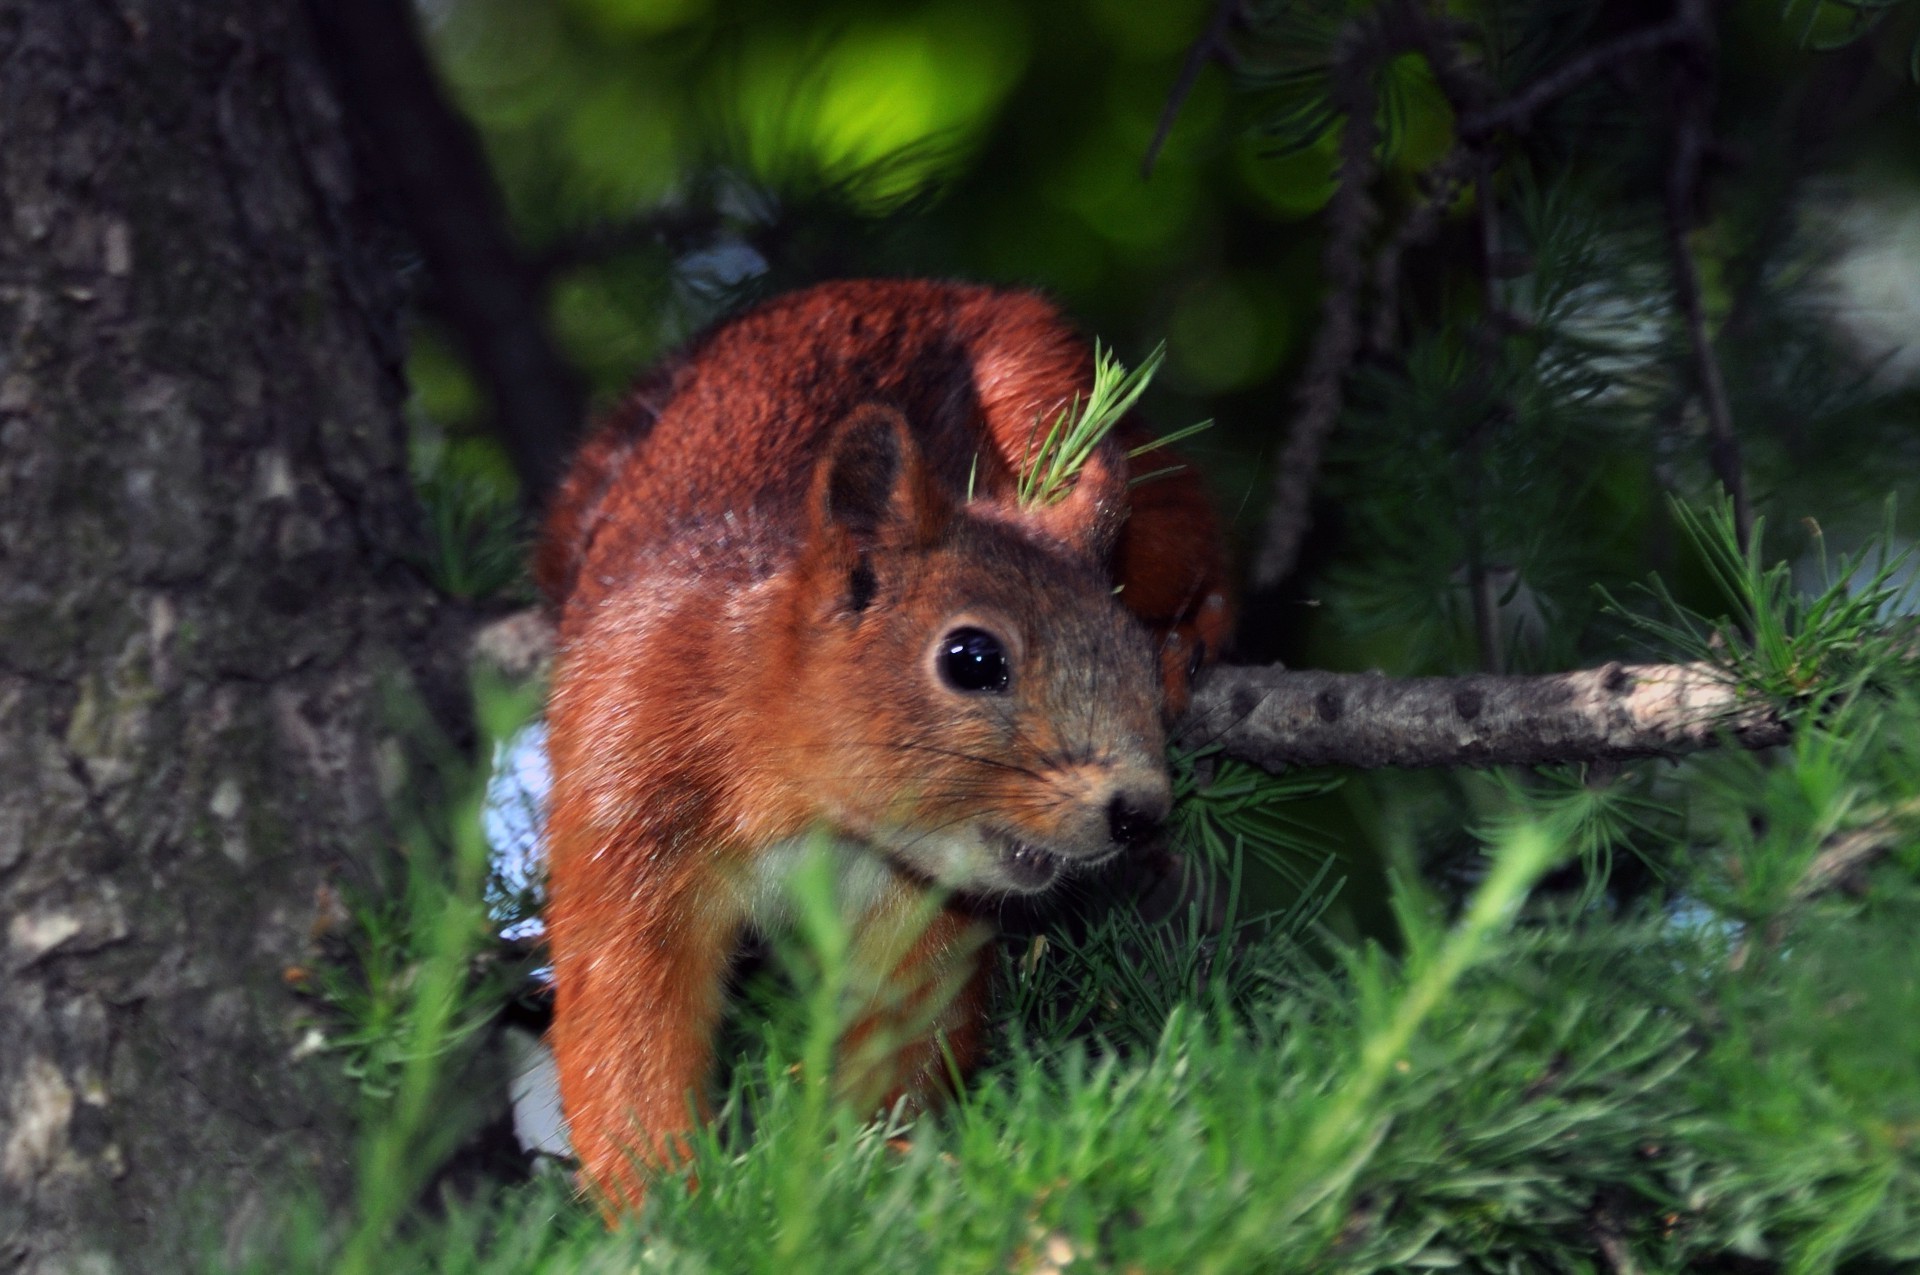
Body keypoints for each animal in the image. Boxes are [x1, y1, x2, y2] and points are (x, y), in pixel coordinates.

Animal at [533, 278, 1236, 1213]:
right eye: (972, 658)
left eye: (1122, 650)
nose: (1140, 811)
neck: (807, 803)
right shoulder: (625, 811)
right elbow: (625, 1022)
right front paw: (671, 1200)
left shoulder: (926, 915)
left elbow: (899, 1034)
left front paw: (864, 1162)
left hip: (1062, 410)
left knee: (1189, 527)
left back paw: (1194, 634)